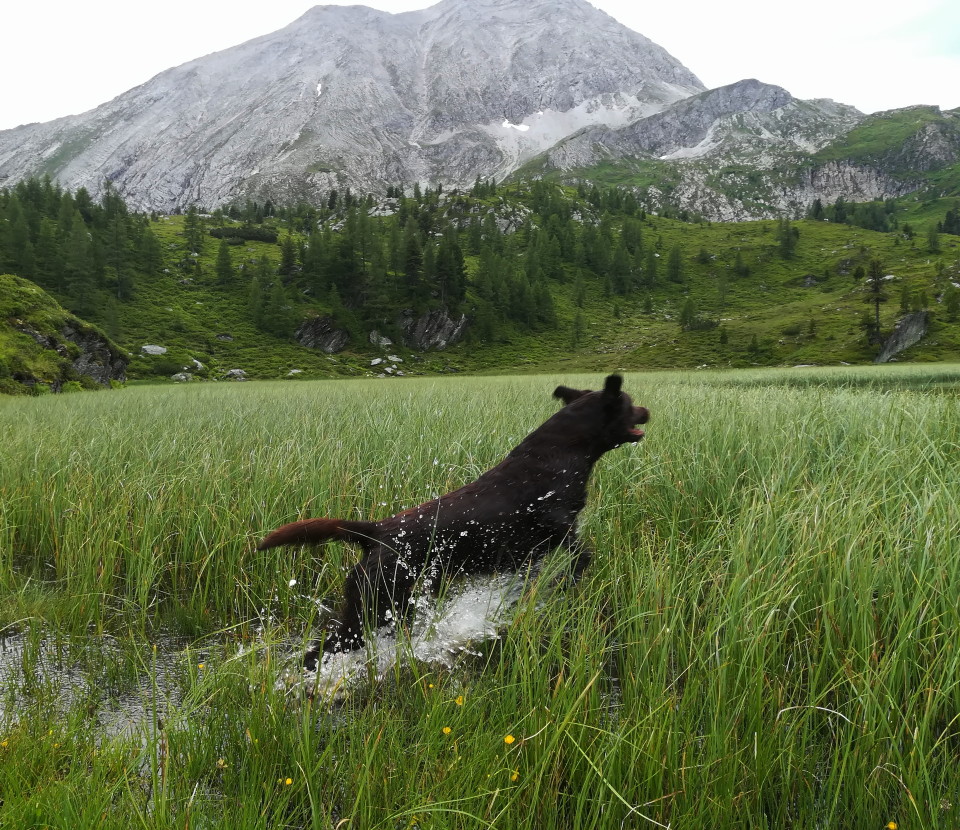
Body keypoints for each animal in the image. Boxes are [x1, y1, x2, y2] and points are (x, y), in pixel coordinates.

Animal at [258, 376, 648, 668]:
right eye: (630, 403)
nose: (647, 410)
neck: (566, 449)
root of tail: (376, 532)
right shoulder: (558, 527)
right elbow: (582, 556)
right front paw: (566, 583)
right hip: (375, 608)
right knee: (320, 651)